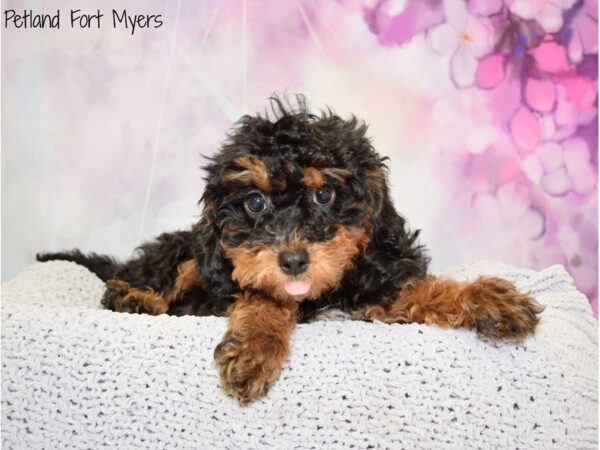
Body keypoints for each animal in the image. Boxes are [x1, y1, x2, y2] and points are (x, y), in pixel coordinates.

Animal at [37, 96, 544, 404]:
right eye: (255, 202)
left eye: (325, 195)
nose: (294, 260)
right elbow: (263, 296)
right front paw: (256, 347)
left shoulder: (377, 285)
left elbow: (423, 292)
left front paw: (489, 299)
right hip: (187, 257)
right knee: (157, 281)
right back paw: (132, 297)